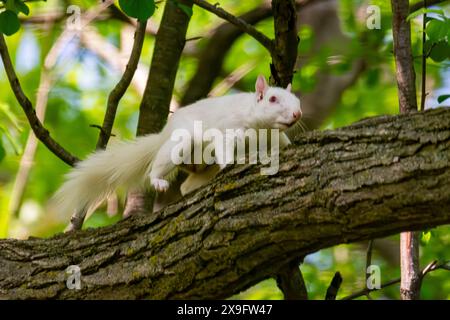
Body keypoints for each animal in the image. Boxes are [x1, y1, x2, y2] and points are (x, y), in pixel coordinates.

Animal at [52, 75, 302, 225]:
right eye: (272, 99)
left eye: (297, 100)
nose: (297, 114)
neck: (261, 130)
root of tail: (165, 133)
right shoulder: (228, 129)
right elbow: (224, 147)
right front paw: (233, 163)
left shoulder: (275, 139)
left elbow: (283, 144)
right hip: (181, 143)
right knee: (158, 166)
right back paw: (158, 181)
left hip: (204, 169)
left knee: (186, 185)